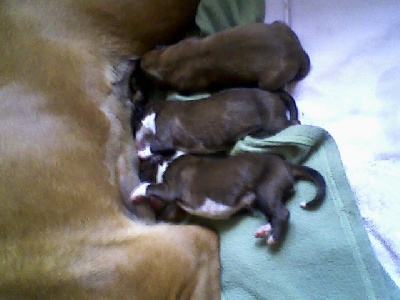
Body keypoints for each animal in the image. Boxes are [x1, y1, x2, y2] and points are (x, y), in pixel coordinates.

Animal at [130, 152, 326, 246]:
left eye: (140, 169)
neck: (166, 162)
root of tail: (287, 164)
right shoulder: (178, 208)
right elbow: (168, 215)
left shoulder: (171, 188)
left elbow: (149, 186)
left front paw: (136, 191)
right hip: (262, 198)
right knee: (274, 215)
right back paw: (264, 231)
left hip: (267, 190)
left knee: (282, 214)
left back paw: (273, 238)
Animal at [136, 87, 298, 159]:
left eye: (138, 119)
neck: (158, 109)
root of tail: (274, 94)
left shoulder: (164, 136)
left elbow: (154, 147)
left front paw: (141, 152)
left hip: (274, 121)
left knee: (293, 122)